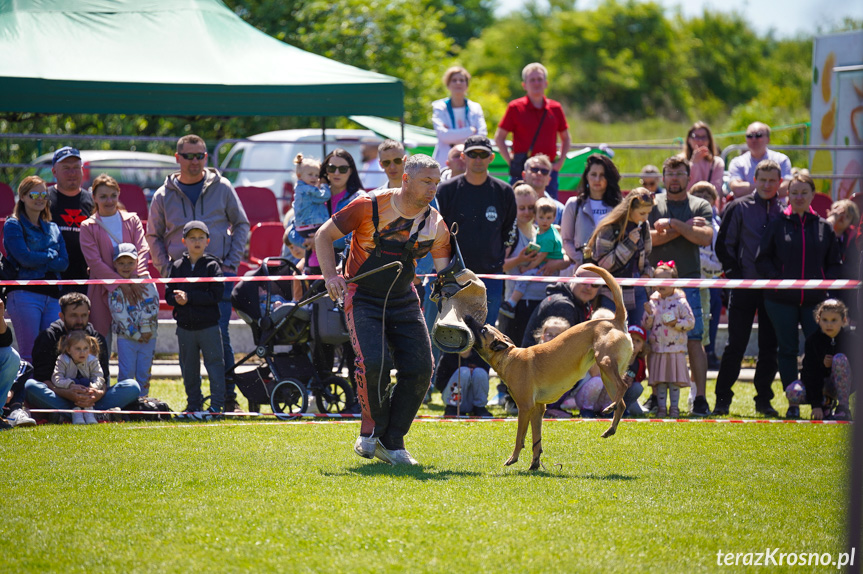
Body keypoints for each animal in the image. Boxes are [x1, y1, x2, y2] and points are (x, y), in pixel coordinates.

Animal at [466, 266, 636, 472]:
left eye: (483, 330)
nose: (467, 317)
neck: (509, 356)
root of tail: (615, 319)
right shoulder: (539, 409)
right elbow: (536, 441)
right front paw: (534, 464)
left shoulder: (525, 408)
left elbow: (519, 438)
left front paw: (513, 458)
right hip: (606, 375)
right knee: (623, 403)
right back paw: (610, 428)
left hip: (605, 363)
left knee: (624, 386)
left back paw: (611, 407)